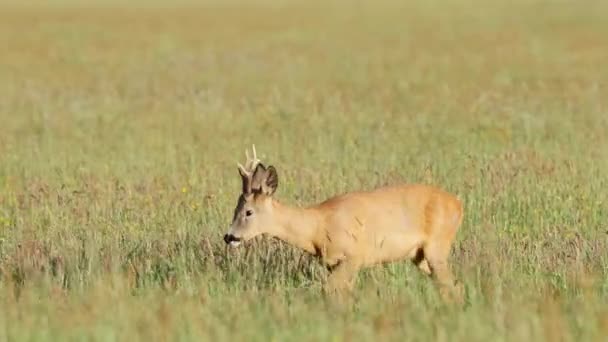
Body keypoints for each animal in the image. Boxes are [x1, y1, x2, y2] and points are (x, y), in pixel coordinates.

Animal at [224, 146, 466, 300]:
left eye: (248, 212)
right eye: (235, 208)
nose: (229, 236)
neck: (318, 227)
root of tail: (458, 204)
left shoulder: (354, 256)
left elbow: (328, 290)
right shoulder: (334, 264)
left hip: (437, 245)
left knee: (451, 286)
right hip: (420, 256)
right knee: (453, 286)